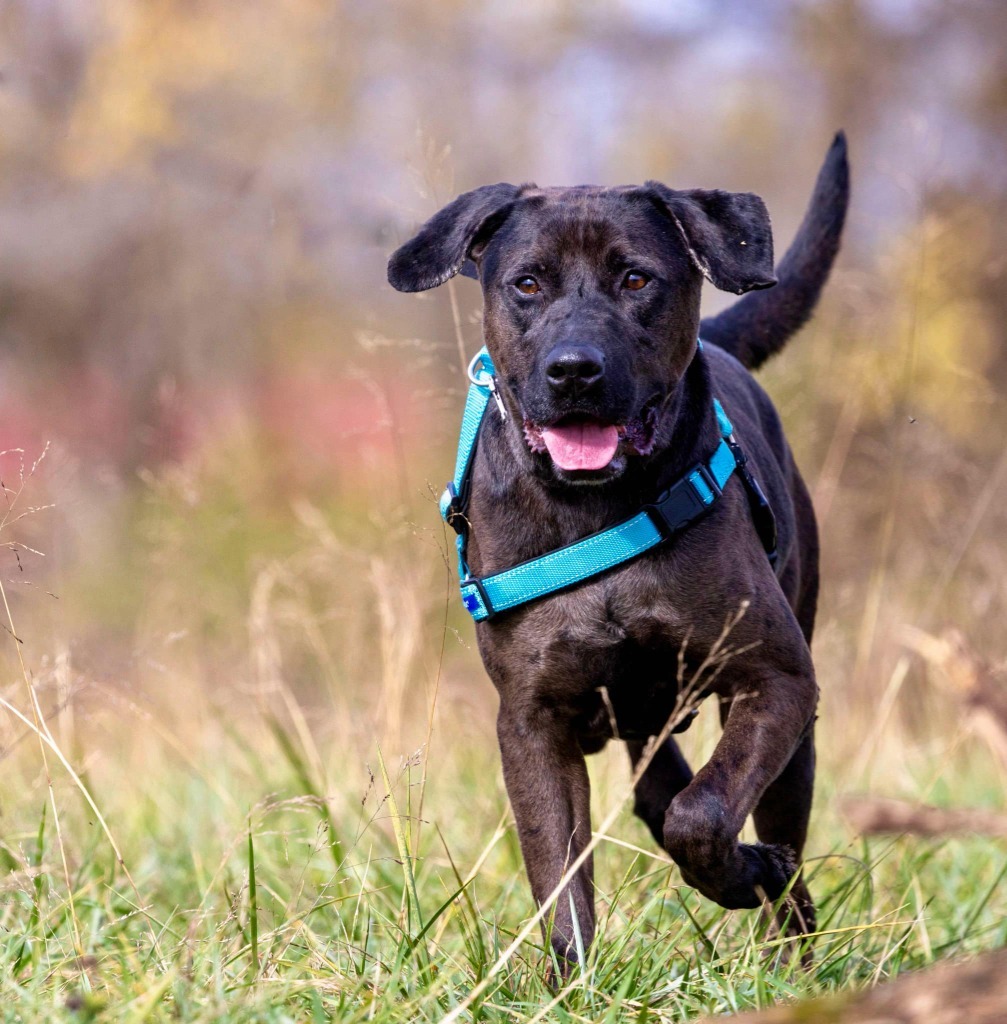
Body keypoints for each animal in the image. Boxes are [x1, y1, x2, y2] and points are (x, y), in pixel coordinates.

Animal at [385, 136, 852, 966]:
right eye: (526, 283)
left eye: (636, 278)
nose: (574, 369)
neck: (593, 505)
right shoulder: (531, 721)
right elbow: (560, 881)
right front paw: (572, 982)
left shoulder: (773, 678)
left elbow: (704, 812)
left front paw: (741, 873)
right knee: (655, 793)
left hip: (790, 726)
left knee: (773, 844)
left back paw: (785, 944)